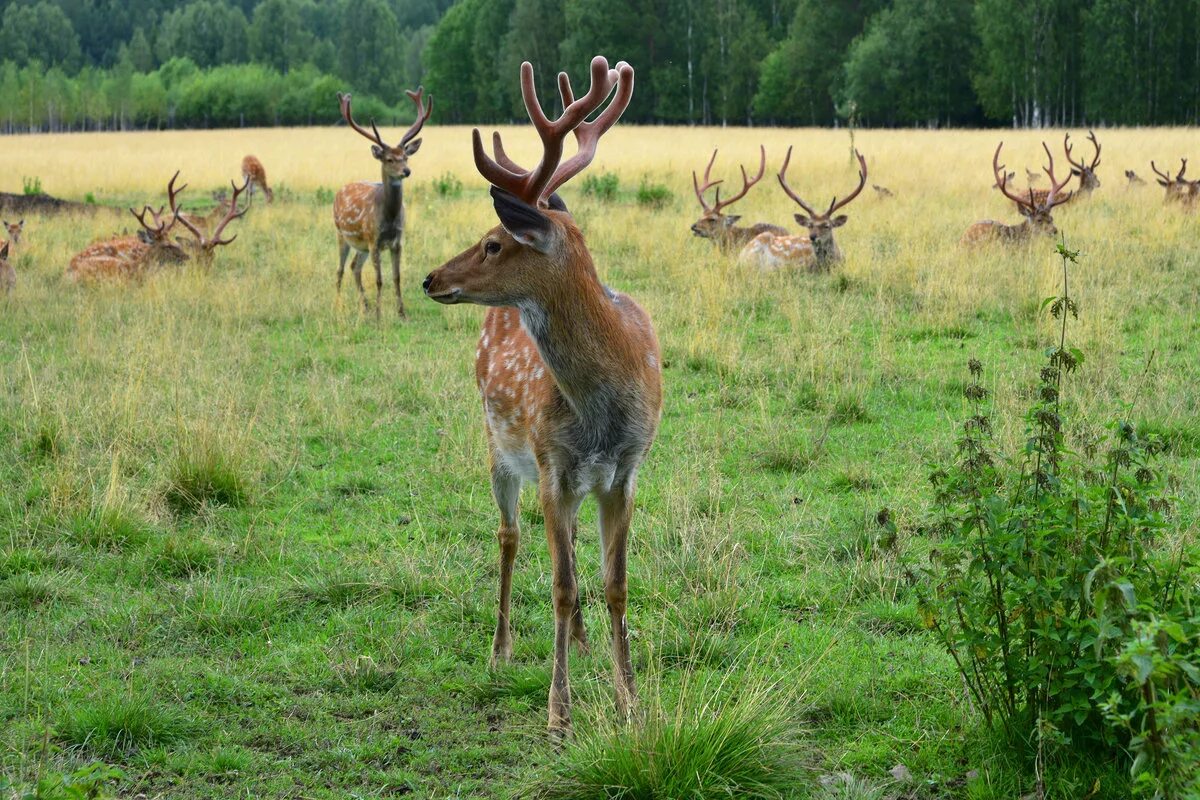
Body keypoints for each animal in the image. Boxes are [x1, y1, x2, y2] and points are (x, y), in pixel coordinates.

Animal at [333, 84, 432, 316]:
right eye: (389, 159)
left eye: (406, 157)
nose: (406, 171)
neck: (389, 218)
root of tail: (340, 190)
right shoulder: (374, 239)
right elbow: (379, 280)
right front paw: (379, 315)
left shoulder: (398, 241)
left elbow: (397, 277)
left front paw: (402, 314)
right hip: (342, 234)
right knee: (340, 270)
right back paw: (339, 305)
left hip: (361, 246)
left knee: (354, 267)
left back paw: (365, 306)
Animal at [420, 54, 662, 738]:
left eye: (494, 242)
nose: (430, 278)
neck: (602, 410)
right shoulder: (551, 464)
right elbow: (559, 584)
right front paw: (559, 713)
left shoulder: (625, 471)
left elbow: (613, 585)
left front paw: (630, 699)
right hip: (499, 449)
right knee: (508, 537)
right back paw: (500, 648)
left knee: (568, 545)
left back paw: (580, 641)